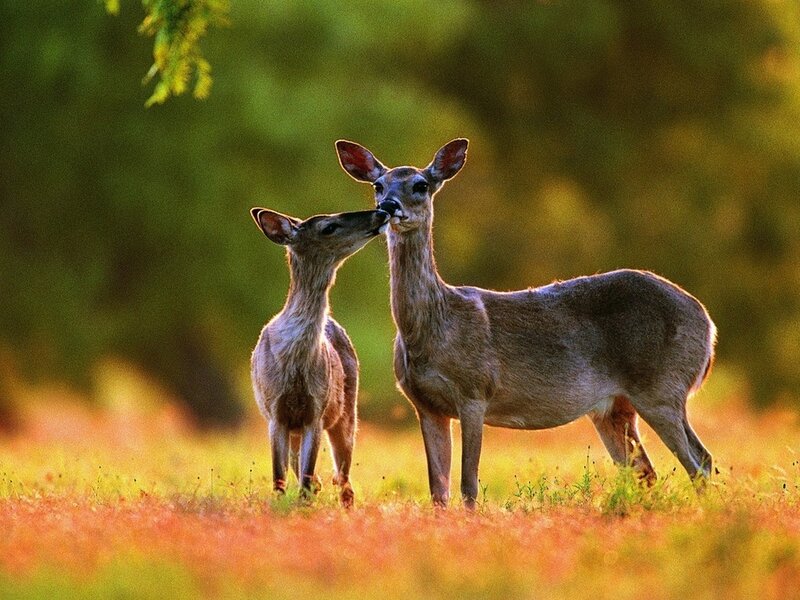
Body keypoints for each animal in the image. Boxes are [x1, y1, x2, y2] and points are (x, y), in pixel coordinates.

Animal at [250, 206, 390, 507]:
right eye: (329, 227)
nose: (381, 212)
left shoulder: (317, 409)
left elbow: (305, 475)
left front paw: (304, 503)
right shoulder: (274, 411)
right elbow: (279, 476)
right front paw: (282, 504)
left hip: (347, 411)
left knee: (345, 479)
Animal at [336, 138, 716, 510]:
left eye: (421, 184)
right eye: (378, 185)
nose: (389, 206)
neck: (435, 327)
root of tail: (707, 323)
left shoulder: (475, 391)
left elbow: (468, 486)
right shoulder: (425, 405)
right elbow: (438, 493)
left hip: (661, 386)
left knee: (700, 461)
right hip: (614, 407)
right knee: (648, 471)